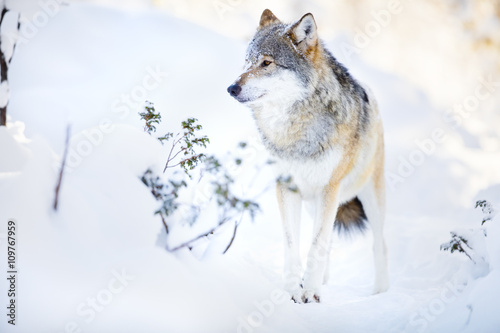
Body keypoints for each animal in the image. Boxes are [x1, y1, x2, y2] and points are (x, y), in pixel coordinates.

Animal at [228, 9, 390, 302]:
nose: (232, 88)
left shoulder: (330, 189)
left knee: (379, 244)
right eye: (247, 62)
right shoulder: (287, 188)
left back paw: (380, 293)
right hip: (314, 203)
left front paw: (311, 293)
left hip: (369, 197)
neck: (295, 132)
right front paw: (294, 290)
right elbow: (293, 244)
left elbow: (316, 245)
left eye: (266, 63)